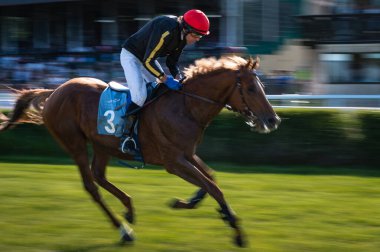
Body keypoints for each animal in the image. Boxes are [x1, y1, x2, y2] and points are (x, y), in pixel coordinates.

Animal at [0, 56, 280, 247]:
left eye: (263, 86)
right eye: (251, 88)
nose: (273, 119)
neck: (186, 106)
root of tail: (54, 90)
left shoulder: (187, 154)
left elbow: (210, 178)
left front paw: (187, 202)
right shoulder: (173, 161)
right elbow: (214, 187)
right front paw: (236, 229)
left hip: (102, 144)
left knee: (99, 176)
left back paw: (129, 208)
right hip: (74, 142)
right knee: (91, 185)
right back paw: (124, 230)